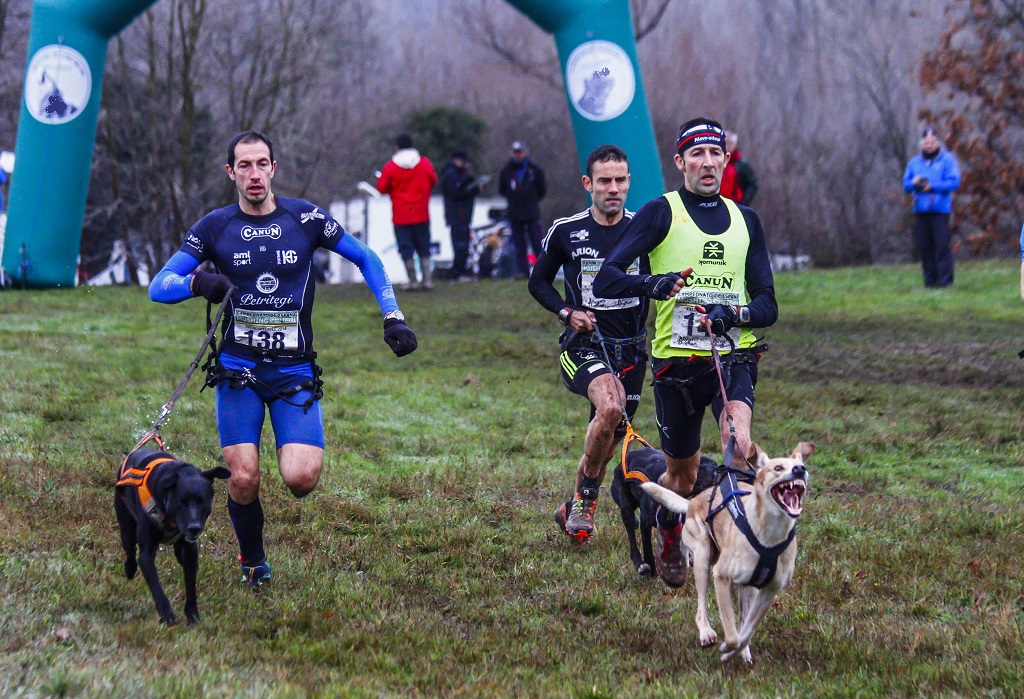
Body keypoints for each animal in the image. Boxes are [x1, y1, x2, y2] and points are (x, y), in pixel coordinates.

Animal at [115, 450, 229, 626]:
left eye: (203, 501)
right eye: (181, 501)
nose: (194, 528)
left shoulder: (190, 552)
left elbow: (190, 585)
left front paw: (192, 616)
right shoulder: (146, 555)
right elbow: (156, 587)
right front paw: (167, 615)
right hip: (126, 527)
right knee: (130, 550)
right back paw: (130, 569)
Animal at [606, 448, 720, 581]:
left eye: (714, 464)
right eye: (700, 467)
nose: (717, 470)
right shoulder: (645, 522)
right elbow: (647, 548)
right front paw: (652, 571)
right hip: (626, 508)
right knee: (632, 538)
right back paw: (640, 564)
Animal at [638, 440, 815, 663]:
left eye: (802, 467)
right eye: (777, 468)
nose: (800, 469)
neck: (770, 534)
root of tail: (693, 501)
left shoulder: (769, 591)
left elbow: (747, 631)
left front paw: (739, 650)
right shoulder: (721, 577)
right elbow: (731, 632)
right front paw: (726, 648)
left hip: (747, 586)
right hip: (703, 556)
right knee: (701, 608)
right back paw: (706, 633)